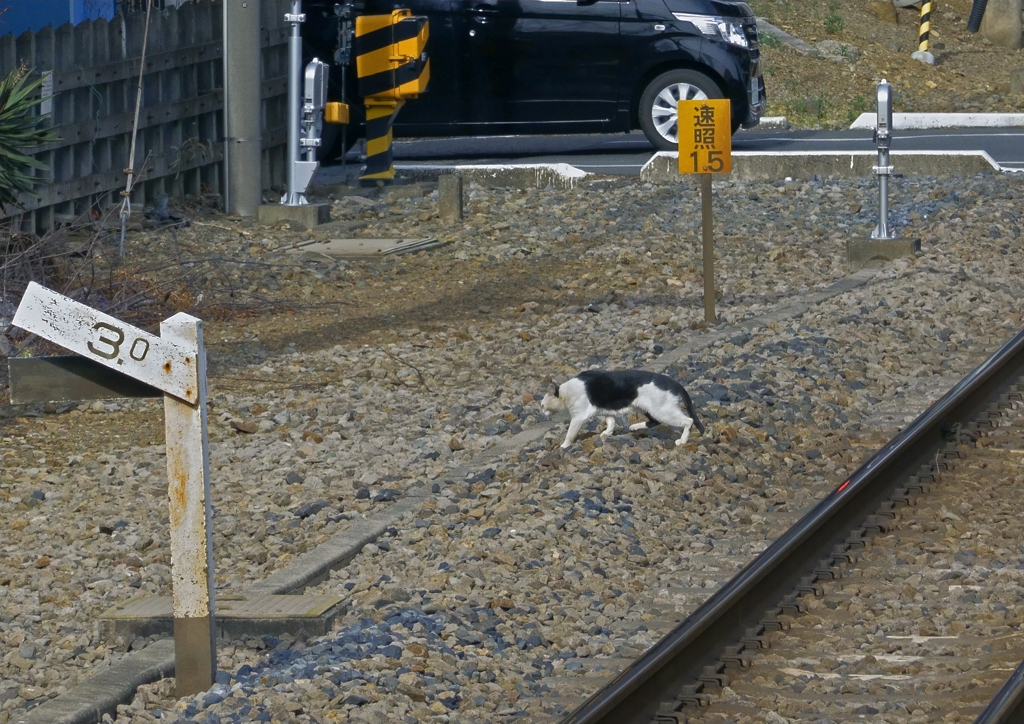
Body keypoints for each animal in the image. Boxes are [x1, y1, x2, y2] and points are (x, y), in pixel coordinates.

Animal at [544, 370, 704, 450]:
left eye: (542, 405)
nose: (542, 412)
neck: (565, 391)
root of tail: (674, 382)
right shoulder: (604, 410)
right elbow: (610, 421)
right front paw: (606, 433)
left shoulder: (578, 417)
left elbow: (570, 434)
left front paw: (563, 446)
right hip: (645, 408)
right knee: (654, 421)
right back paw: (634, 427)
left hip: (662, 411)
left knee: (688, 420)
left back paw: (682, 441)